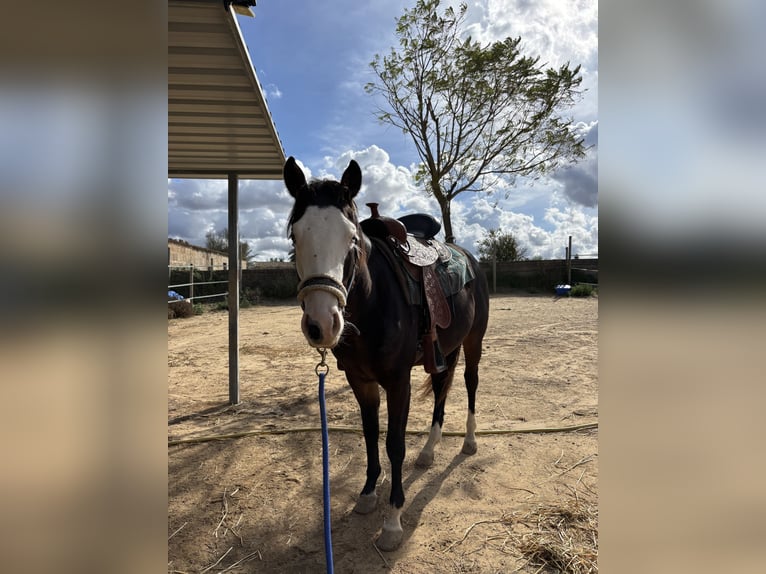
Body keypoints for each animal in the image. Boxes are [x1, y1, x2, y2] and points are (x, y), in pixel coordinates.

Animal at [283, 156, 490, 551]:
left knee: (471, 384)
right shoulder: (360, 381)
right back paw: (428, 451)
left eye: (351, 238)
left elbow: (394, 443)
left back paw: (469, 441)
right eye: (294, 236)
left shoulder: (398, 382)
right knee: (442, 388)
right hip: (444, 350)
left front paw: (392, 520)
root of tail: (468, 257)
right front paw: (367, 494)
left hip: (474, 343)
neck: (373, 301)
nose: (321, 324)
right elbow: (369, 435)